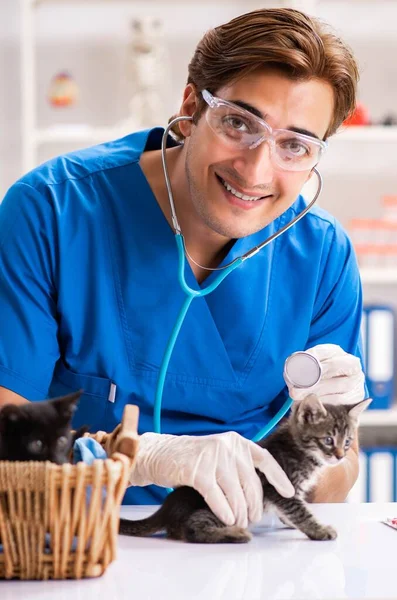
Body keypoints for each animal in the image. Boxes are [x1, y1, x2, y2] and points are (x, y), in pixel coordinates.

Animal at [119, 394, 370, 544]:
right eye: (328, 440)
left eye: (347, 442)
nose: (340, 456)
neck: (300, 450)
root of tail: (167, 508)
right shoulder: (280, 488)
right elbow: (301, 512)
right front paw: (319, 530)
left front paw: (290, 523)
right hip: (220, 505)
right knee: (193, 530)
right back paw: (234, 534)